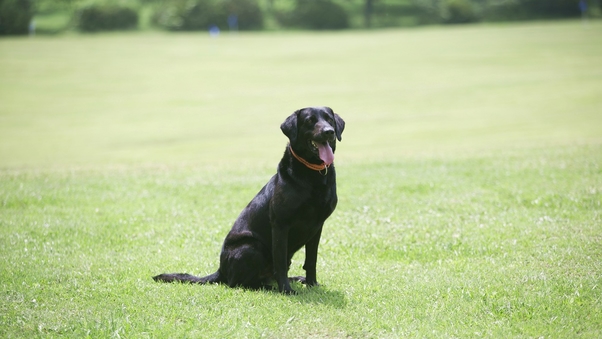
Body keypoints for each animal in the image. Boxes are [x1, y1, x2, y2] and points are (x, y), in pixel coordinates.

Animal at [152, 107, 344, 294]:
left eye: (329, 119)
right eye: (310, 121)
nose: (329, 131)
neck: (313, 173)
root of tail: (221, 270)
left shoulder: (317, 226)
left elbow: (311, 261)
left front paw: (312, 284)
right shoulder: (280, 224)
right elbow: (280, 263)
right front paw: (286, 291)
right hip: (252, 247)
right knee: (239, 283)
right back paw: (271, 288)